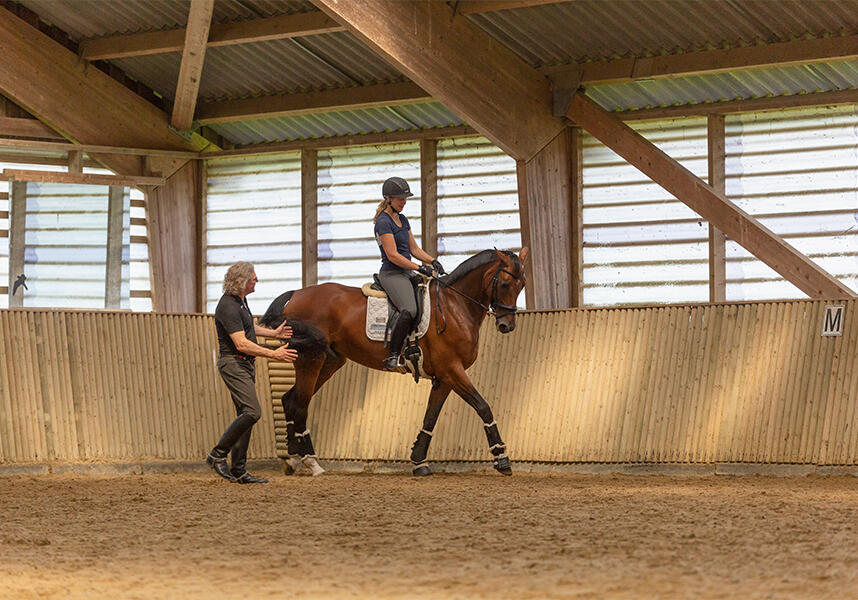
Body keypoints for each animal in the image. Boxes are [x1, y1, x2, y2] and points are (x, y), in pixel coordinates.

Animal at [260, 246, 528, 476]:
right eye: (505, 284)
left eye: (522, 284)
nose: (507, 325)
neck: (455, 306)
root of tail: (297, 293)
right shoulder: (452, 370)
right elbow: (483, 406)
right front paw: (502, 458)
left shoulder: (445, 377)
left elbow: (431, 417)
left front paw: (419, 461)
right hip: (311, 358)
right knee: (300, 405)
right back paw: (311, 461)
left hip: (330, 362)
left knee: (290, 399)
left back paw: (293, 459)